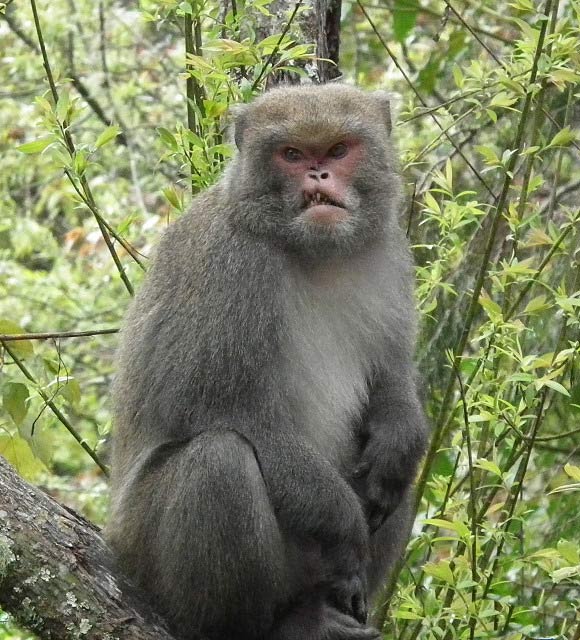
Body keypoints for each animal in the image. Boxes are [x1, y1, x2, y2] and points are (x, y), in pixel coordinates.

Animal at [107, 83, 429, 640]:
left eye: (338, 150)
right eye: (293, 154)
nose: (318, 177)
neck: (316, 254)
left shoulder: (387, 250)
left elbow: (391, 380)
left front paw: (400, 431)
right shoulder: (231, 266)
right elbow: (225, 410)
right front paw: (345, 525)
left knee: (396, 479)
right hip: (141, 553)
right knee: (219, 462)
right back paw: (272, 626)